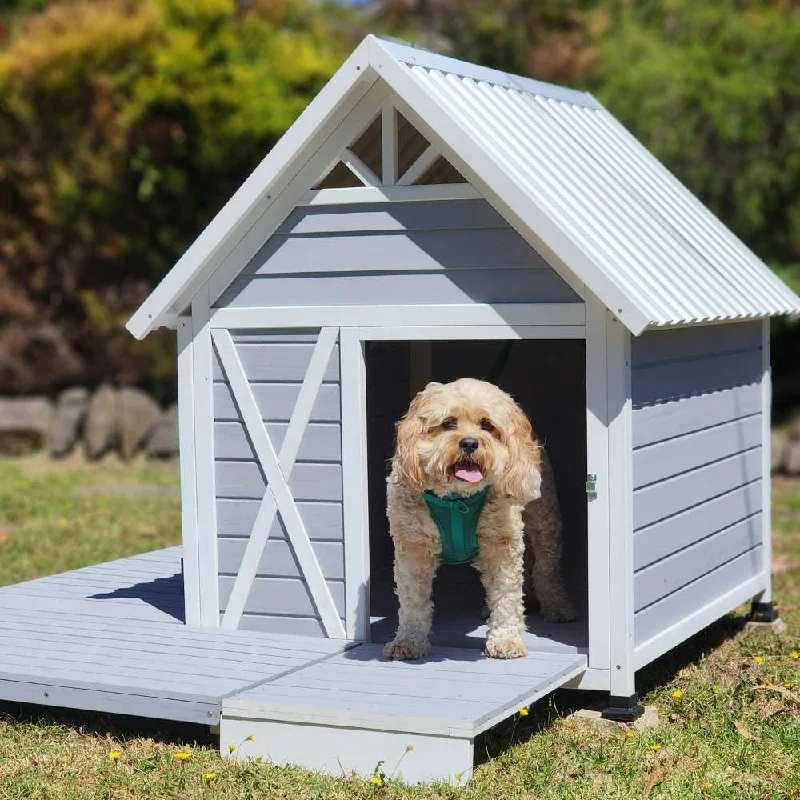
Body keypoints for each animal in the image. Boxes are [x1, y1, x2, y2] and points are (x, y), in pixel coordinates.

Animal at [384, 378, 572, 660]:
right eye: (448, 422)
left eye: (487, 425)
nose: (470, 443)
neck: (456, 498)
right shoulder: (412, 545)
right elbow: (412, 600)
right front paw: (409, 641)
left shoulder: (502, 543)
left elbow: (507, 595)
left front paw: (505, 639)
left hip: (545, 520)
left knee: (546, 569)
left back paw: (556, 605)